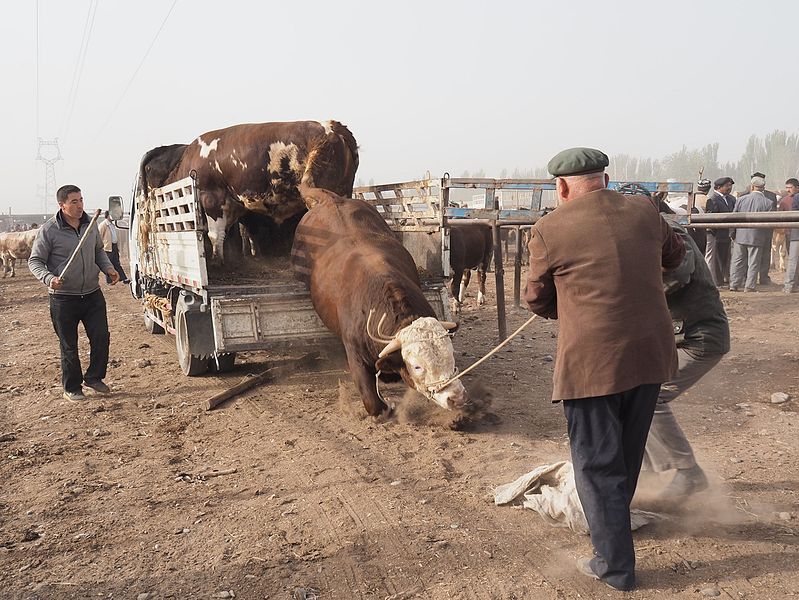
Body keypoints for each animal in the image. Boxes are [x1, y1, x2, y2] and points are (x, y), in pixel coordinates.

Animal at [142, 119, 358, 262]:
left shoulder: (212, 198)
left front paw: (218, 261)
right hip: (343, 190)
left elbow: (215, 235)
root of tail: (332, 126)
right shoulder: (233, 205)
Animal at [292, 188, 468, 418]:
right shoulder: (355, 352)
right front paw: (386, 406)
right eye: (417, 366)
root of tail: (331, 199)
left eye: (450, 353)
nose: (456, 398)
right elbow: (372, 402)